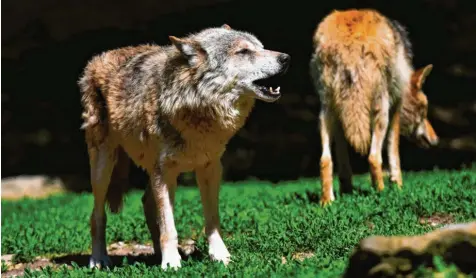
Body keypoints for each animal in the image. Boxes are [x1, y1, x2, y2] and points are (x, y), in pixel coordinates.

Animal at [78, 24, 290, 270]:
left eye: (261, 47)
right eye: (244, 51)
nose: (286, 58)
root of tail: (101, 56)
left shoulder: (210, 169)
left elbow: (211, 221)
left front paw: (220, 256)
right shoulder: (165, 172)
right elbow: (169, 227)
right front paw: (171, 263)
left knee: (147, 204)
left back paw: (157, 254)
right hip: (104, 168)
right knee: (97, 215)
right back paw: (99, 259)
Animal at [308, 8, 438, 205]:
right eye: (424, 111)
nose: (436, 140)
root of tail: (350, 41)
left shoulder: (340, 122)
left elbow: (344, 168)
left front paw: (347, 192)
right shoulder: (395, 110)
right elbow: (394, 156)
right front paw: (399, 188)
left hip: (326, 113)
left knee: (325, 160)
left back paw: (327, 202)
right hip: (380, 113)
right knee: (374, 158)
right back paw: (382, 195)